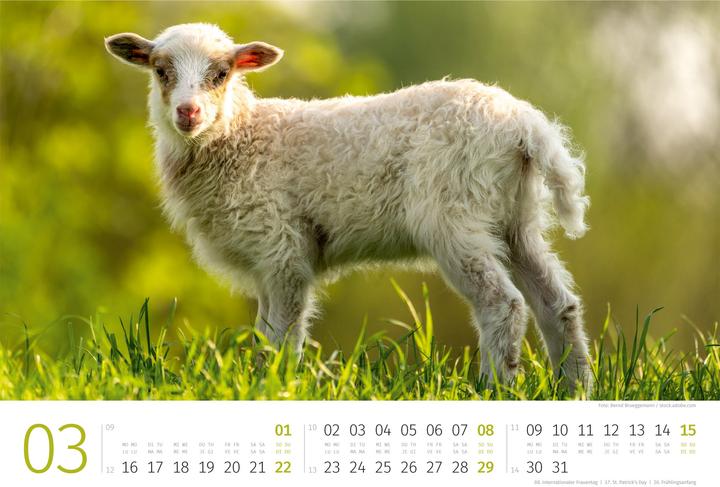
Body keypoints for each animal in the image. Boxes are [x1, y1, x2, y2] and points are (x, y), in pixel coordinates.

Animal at [105, 23, 592, 392]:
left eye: (221, 73)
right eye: (160, 71)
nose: (187, 113)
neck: (241, 137)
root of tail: (525, 125)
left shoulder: (283, 247)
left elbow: (283, 334)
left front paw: (277, 386)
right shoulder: (264, 259)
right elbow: (264, 333)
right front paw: (262, 381)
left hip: (455, 214)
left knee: (503, 304)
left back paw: (494, 388)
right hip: (515, 218)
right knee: (557, 303)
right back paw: (574, 388)